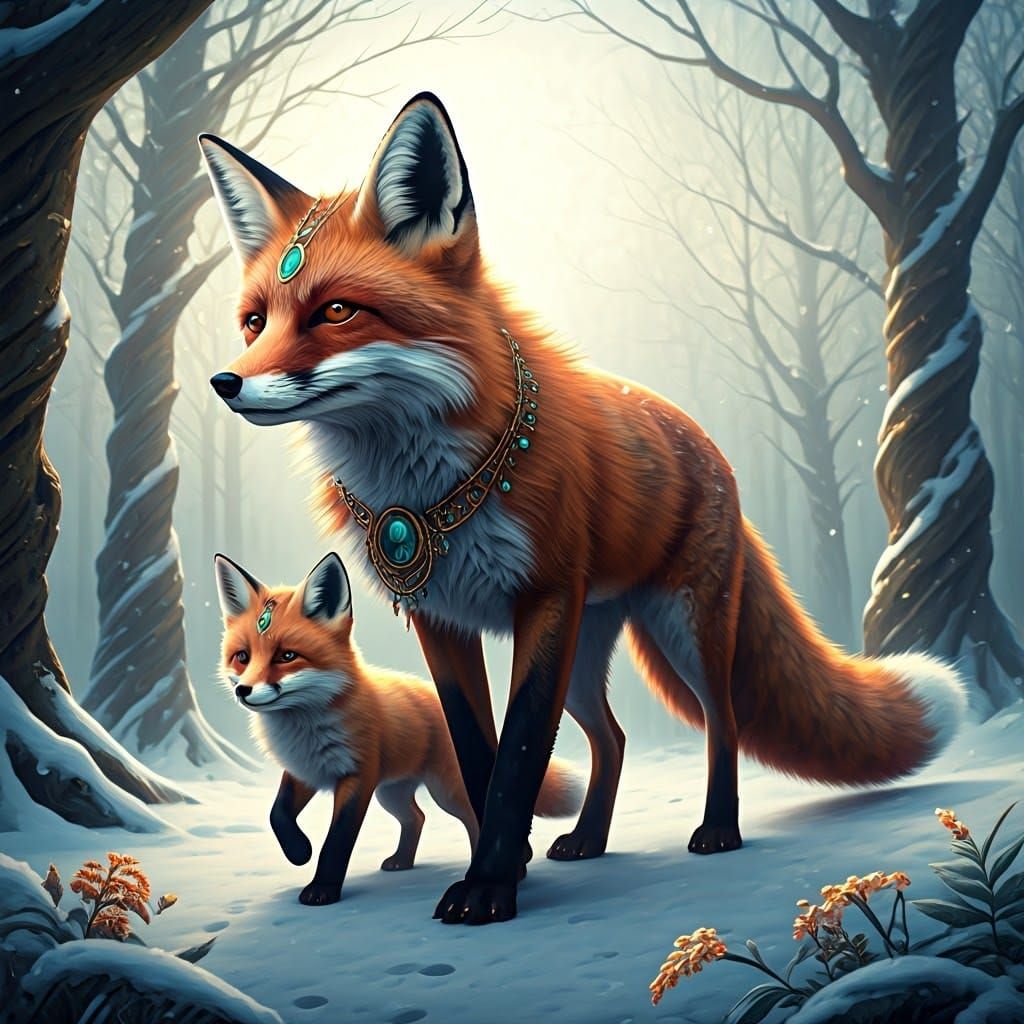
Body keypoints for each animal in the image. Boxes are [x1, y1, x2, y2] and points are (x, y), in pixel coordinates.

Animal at [214, 551, 581, 906]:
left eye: (287, 656)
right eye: (242, 657)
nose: (243, 691)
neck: (304, 727)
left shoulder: (357, 778)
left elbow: (337, 840)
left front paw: (322, 889)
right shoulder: (305, 771)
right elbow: (277, 815)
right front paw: (299, 851)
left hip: (445, 791)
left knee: (473, 817)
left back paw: (502, 865)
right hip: (391, 794)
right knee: (416, 818)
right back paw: (402, 861)